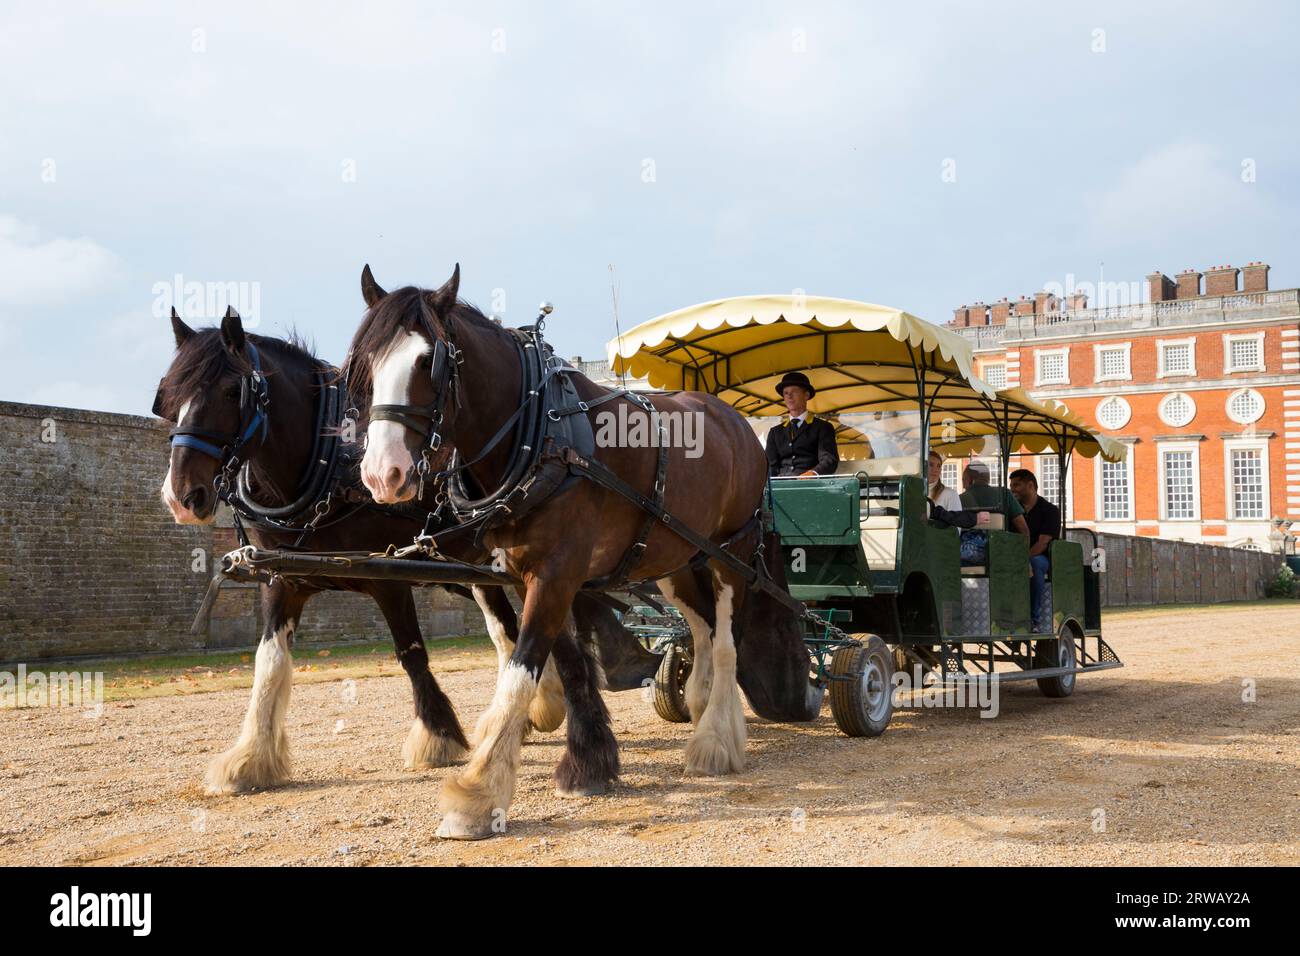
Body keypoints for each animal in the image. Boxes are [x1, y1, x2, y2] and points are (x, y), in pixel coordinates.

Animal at [156, 310, 655, 796]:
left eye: (231, 390)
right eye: (168, 397)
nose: (181, 496)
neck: (329, 465)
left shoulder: (388, 575)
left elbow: (411, 653)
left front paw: (438, 734)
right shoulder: (283, 577)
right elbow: (269, 661)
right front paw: (250, 758)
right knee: (507, 629)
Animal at [343, 264, 811, 837]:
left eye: (427, 360)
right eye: (365, 364)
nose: (381, 475)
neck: (540, 435)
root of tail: (737, 419)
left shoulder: (558, 572)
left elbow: (521, 669)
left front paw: (476, 794)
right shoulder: (534, 575)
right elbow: (564, 660)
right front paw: (590, 762)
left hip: (732, 552)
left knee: (724, 638)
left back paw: (716, 740)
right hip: (678, 557)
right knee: (700, 627)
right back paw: (700, 705)